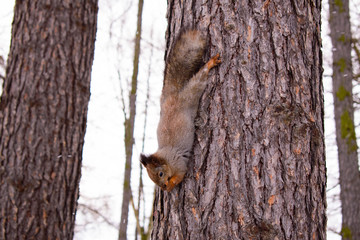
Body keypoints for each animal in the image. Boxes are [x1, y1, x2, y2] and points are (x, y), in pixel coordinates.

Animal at [140, 30, 219, 191]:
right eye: (152, 179)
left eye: (160, 174)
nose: (163, 187)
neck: (165, 157)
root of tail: (173, 96)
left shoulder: (178, 163)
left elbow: (180, 175)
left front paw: (171, 185)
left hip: (190, 95)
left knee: (198, 80)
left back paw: (210, 64)